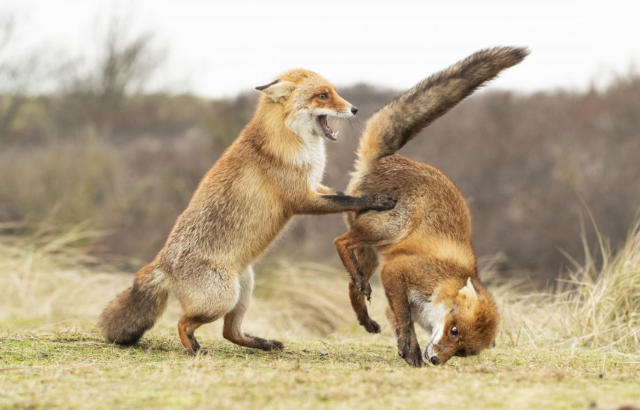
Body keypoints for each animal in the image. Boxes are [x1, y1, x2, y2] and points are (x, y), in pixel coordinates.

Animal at [99, 69, 396, 354]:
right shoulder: (302, 199)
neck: (290, 140)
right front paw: (377, 200)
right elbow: (348, 200)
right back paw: (195, 349)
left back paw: (265, 344)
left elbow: (342, 194)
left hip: (244, 290)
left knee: (229, 332)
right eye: (323, 96)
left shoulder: (314, 186)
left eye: (334, 92)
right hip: (221, 299)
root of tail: (162, 262)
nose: (354, 109)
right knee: (183, 323)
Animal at [332, 46, 528, 366]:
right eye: (454, 330)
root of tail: (388, 159)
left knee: (352, 283)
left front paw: (406, 349)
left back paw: (365, 316)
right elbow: (405, 321)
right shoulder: (396, 271)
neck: (444, 283)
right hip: (388, 229)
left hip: (372, 253)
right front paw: (411, 352)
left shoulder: (395, 293)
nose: (436, 360)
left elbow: (397, 320)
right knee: (340, 241)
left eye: (462, 351)